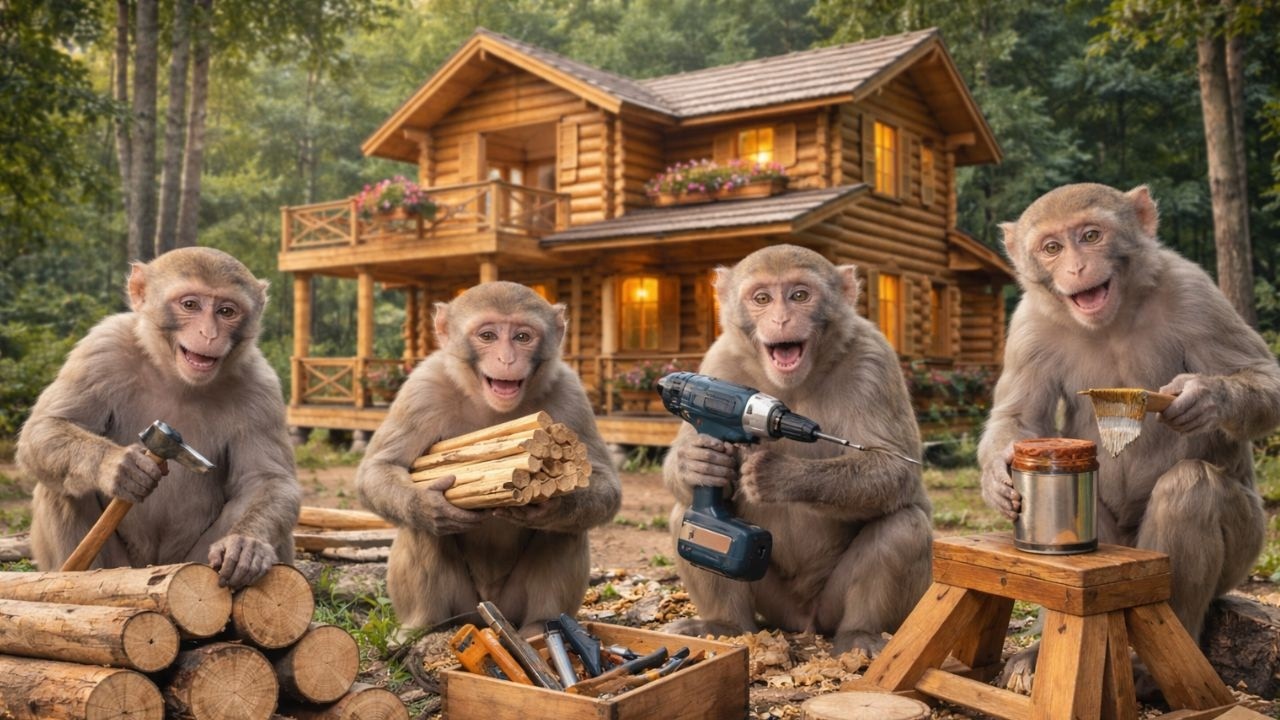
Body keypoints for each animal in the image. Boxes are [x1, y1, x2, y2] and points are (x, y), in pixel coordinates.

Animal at [17, 247, 301, 589]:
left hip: (190, 561)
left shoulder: (261, 387)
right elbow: (46, 428)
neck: (177, 378)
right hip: (118, 566)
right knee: (61, 488)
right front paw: (119, 466)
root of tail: (152, 567)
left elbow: (266, 479)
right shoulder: (102, 348)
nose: (209, 334)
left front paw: (246, 545)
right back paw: (71, 581)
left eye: (226, 311)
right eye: (190, 305)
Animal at [355, 281, 621, 634]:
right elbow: (380, 468)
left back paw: (542, 624)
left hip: (511, 605)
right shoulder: (421, 389)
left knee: (567, 532)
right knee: (418, 528)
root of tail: (486, 612)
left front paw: (552, 507)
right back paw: (421, 624)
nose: (506, 359)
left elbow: (605, 485)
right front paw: (432, 506)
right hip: (463, 608)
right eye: (488, 336)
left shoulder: (571, 394)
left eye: (522, 336)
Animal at [662, 244, 931, 656]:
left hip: (829, 608)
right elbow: (688, 459)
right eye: (762, 298)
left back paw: (860, 634)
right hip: (774, 604)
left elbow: (894, 467)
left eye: (800, 295)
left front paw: (778, 475)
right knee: (684, 511)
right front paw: (697, 462)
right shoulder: (717, 362)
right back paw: (724, 625)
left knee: (905, 525)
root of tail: (804, 622)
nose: (781, 318)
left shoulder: (874, 359)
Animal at [978, 184, 1280, 689]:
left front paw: (1204, 397)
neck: (1114, 318)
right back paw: (1042, 651)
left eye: (1091, 235)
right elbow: (1019, 415)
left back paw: (1154, 660)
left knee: (1190, 488)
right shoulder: (1027, 324)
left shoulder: (1196, 291)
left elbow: (1264, 377)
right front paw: (998, 477)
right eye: (1052, 247)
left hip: (1246, 549)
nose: (1076, 268)